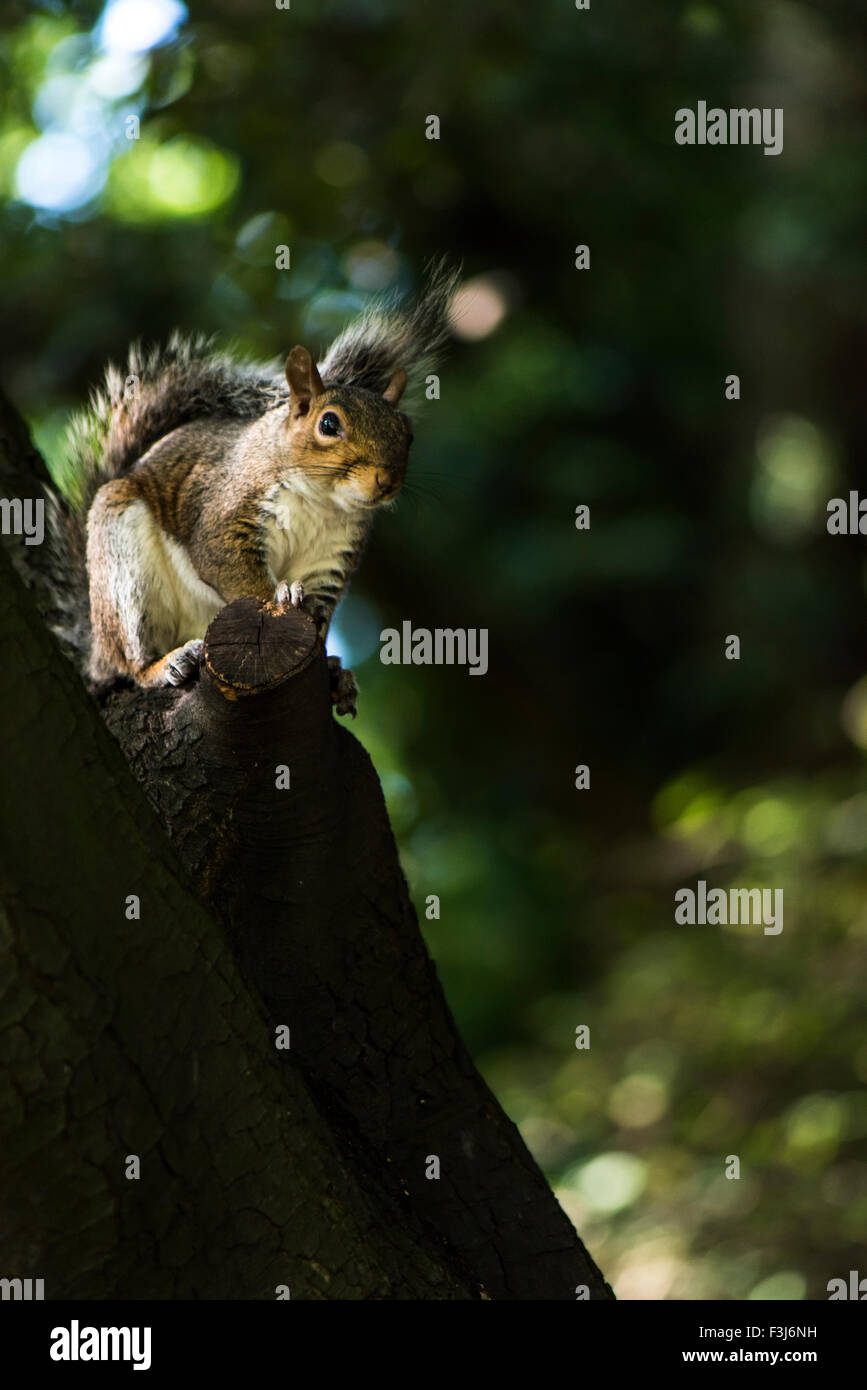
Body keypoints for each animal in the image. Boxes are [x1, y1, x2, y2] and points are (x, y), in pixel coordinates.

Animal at [49, 261, 458, 715]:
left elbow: (319, 611)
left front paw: (332, 670)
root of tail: (94, 651)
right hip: (121, 563)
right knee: (129, 661)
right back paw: (163, 664)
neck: (322, 502)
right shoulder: (226, 510)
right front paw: (280, 596)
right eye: (328, 423)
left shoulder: (332, 558)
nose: (386, 481)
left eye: (409, 435)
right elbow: (229, 565)